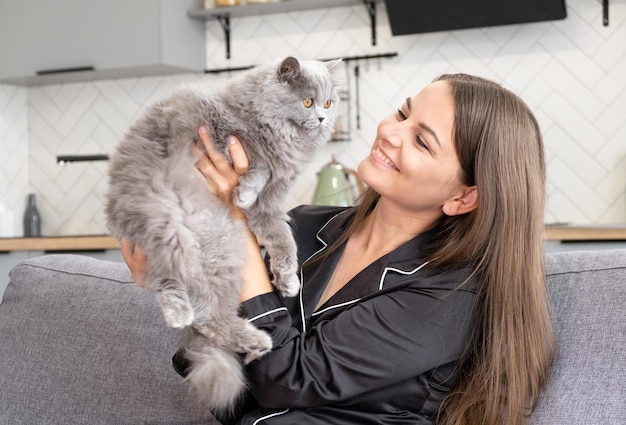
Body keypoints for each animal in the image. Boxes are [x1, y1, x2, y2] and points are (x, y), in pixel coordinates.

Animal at [106, 56, 342, 410]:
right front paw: (244, 191)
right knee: (169, 283)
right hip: (165, 223)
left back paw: (255, 341)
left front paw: (287, 280)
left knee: (208, 317)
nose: (323, 117)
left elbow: (283, 242)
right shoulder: (221, 131)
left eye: (328, 103)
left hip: (221, 251)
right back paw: (183, 315)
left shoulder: (270, 207)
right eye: (307, 102)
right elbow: (257, 159)